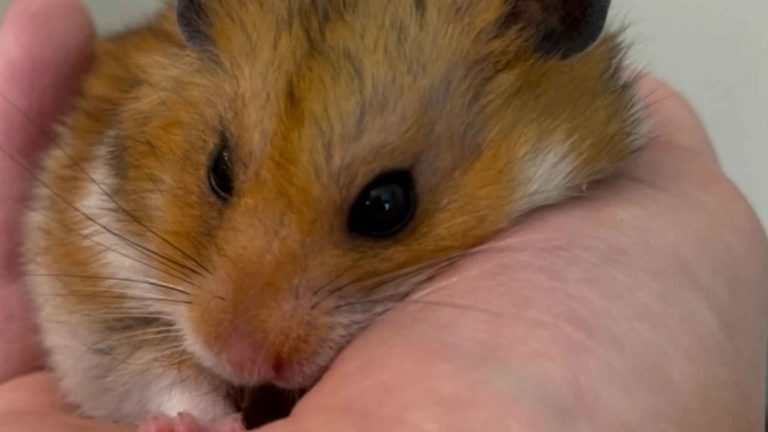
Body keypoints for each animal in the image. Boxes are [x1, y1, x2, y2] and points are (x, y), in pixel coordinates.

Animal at [22, 0, 644, 429]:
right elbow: (157, 371)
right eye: (218, 169)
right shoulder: (86, 291)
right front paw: (200, 423)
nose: (238, 358)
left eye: (386, 205)